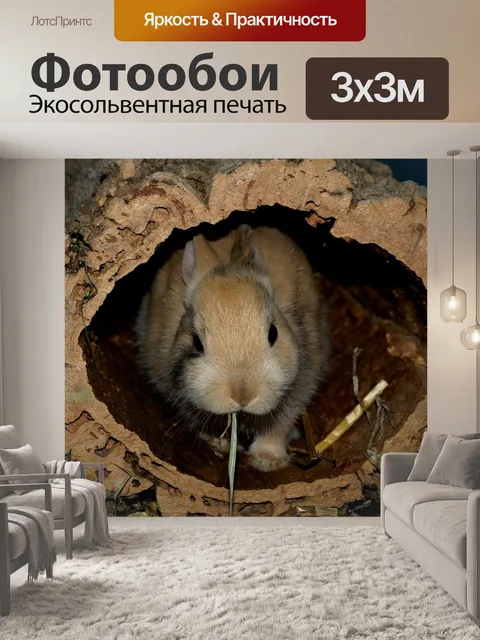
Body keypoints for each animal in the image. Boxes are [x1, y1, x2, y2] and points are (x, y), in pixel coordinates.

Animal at [136, 224, 329, 472]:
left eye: (273, 333)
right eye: (196, 342)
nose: (242, 395)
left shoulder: (301, 386)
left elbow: (277, 427)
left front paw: (267, 460)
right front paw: (221, 445)